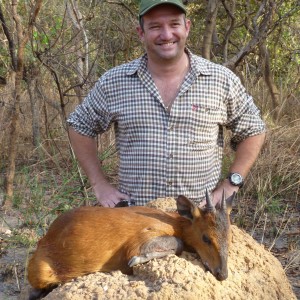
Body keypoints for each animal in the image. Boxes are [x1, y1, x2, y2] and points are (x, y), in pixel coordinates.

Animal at [27, 191, 234, 298]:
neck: (174, 223)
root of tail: (45, 238)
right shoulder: (138, 242)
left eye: (229, 236)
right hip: (40, 271)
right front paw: (137, 260)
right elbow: (178, 242)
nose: (222, 274)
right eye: (206, 238)